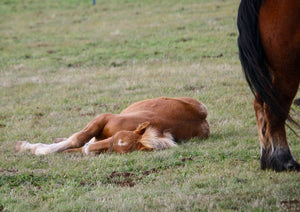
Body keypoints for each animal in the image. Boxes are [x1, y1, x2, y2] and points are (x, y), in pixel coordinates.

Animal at [14, 97, 210, 156]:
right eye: (115, 138)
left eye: (116, 150)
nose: (90, 150)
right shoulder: (103, 118)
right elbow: (78, 139)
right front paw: (31, 147)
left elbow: (77, 145)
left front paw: (35, 148)